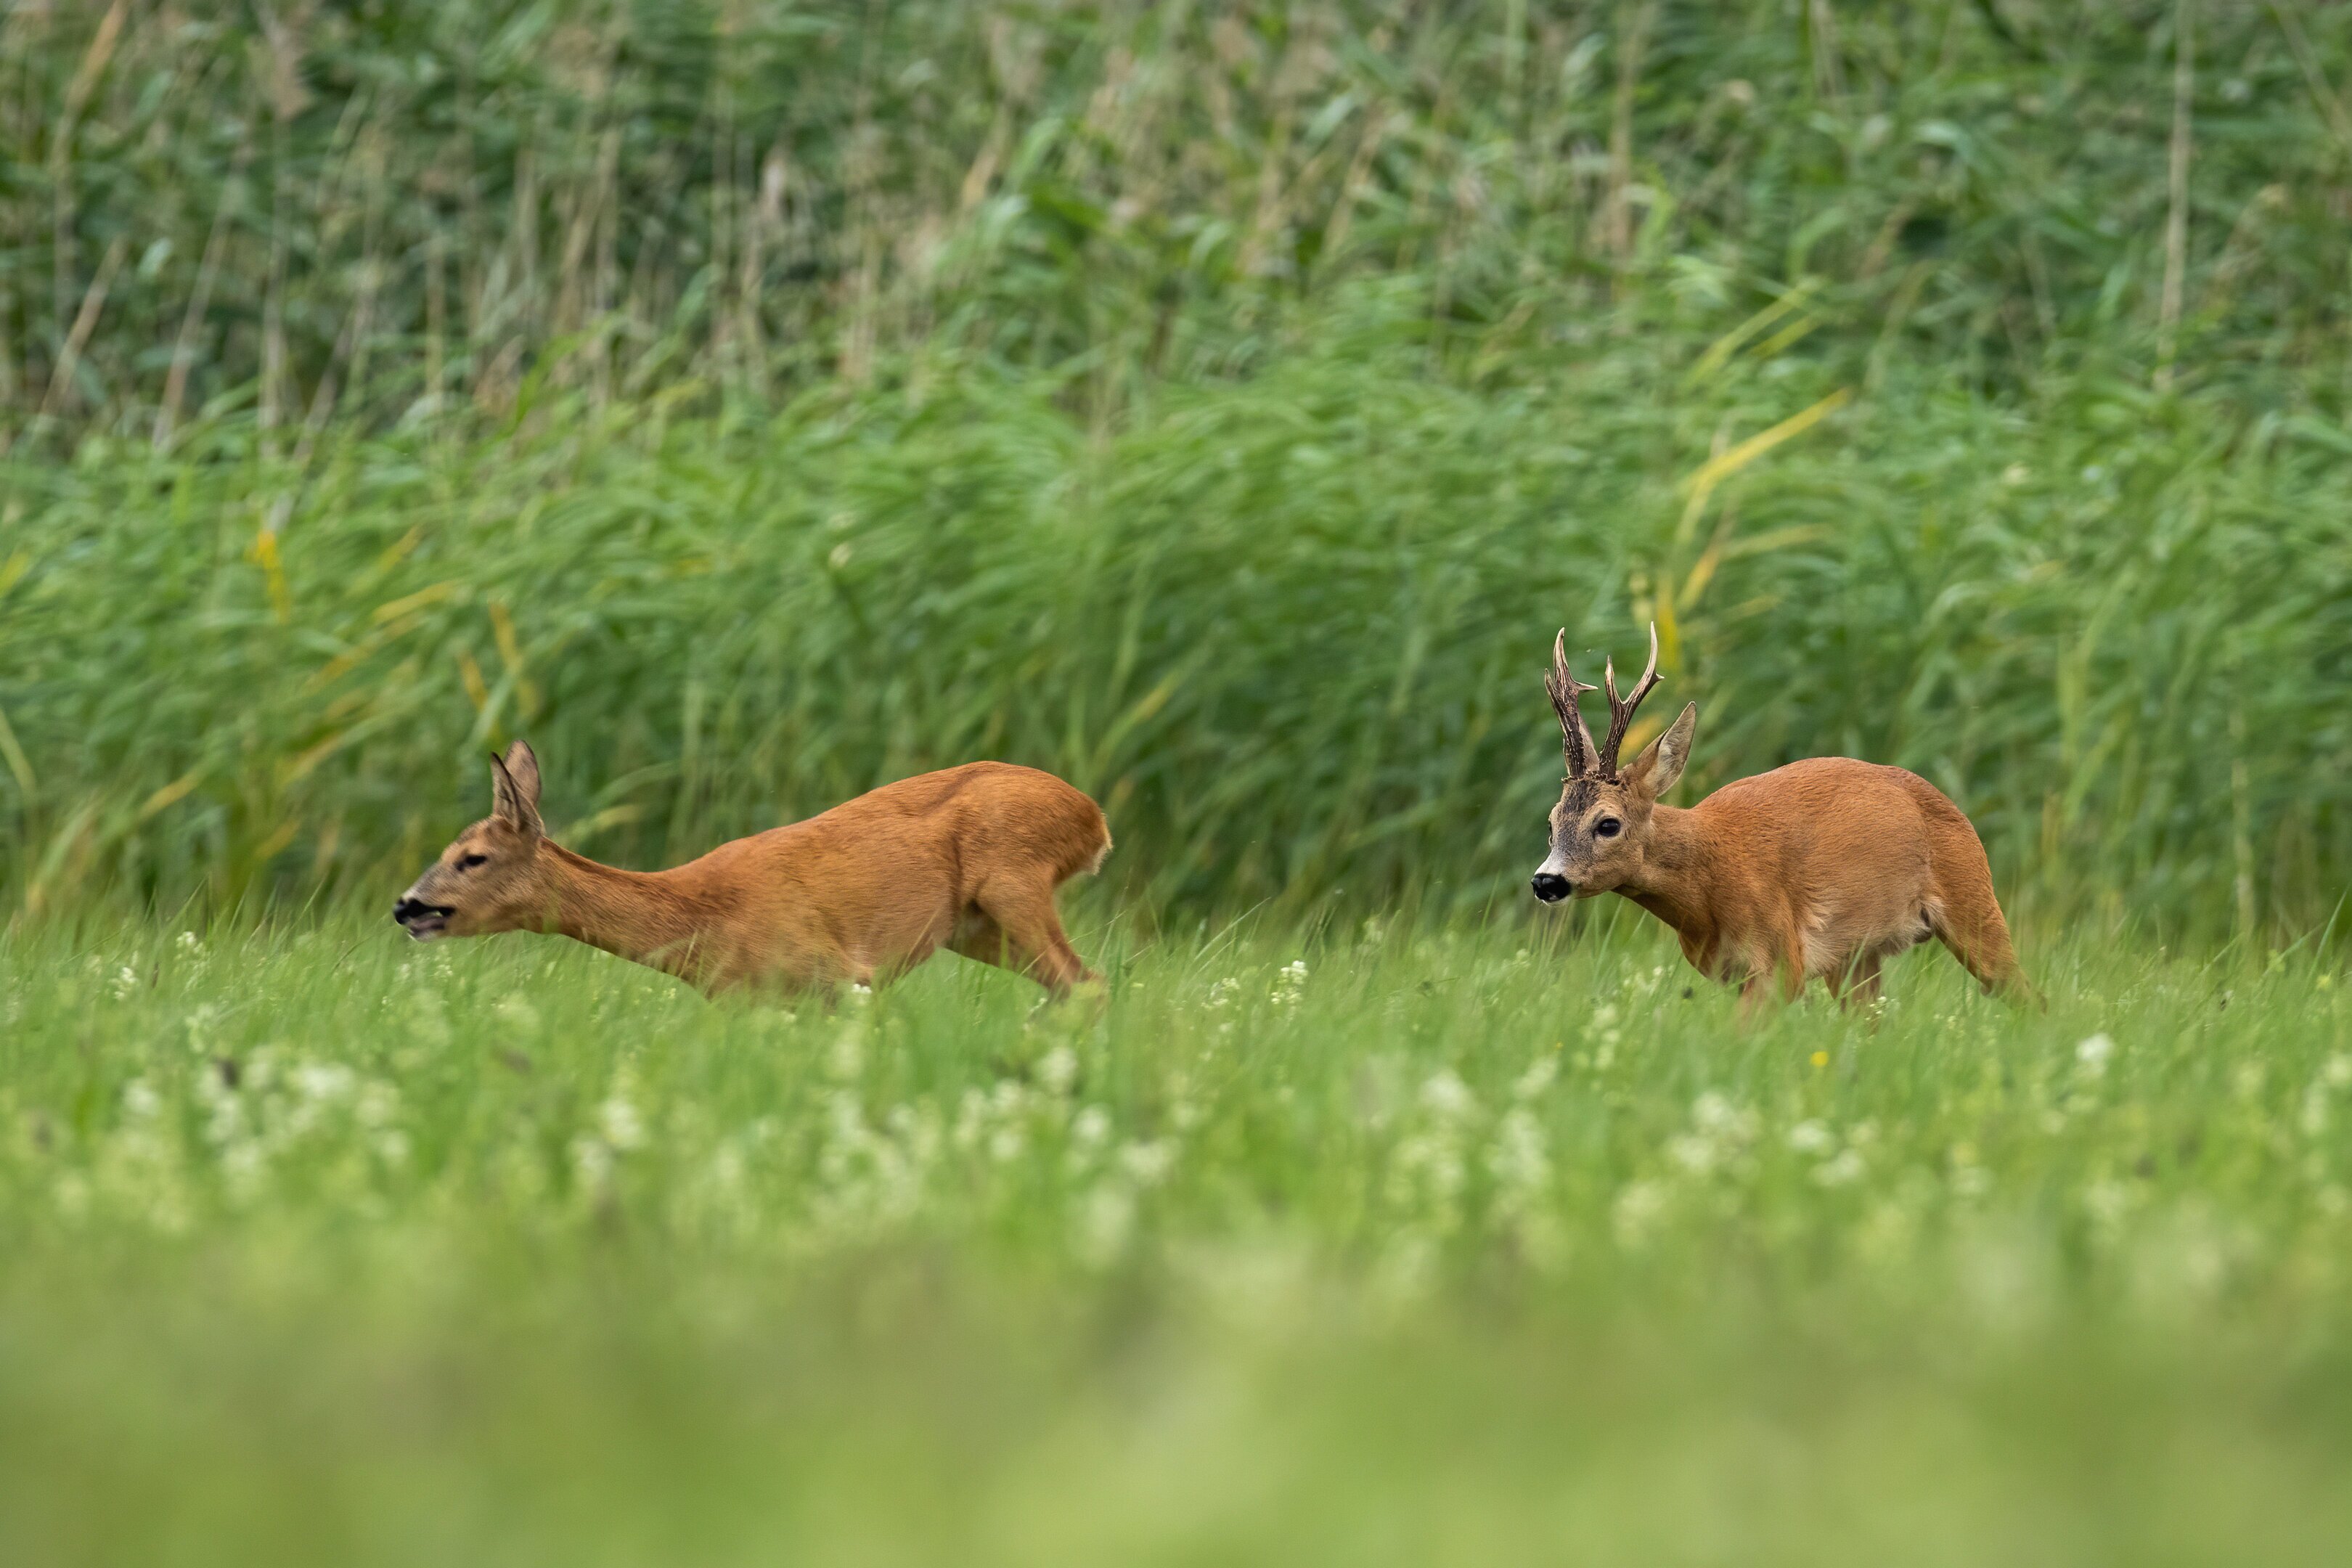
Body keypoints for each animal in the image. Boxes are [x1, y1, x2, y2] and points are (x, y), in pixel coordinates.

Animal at [395, 747, 1110, 992]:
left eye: (472, 858)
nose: (407, 905)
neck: (703, 913)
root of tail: (1094, 816)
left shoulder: (842, 976)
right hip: (976, 927)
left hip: (1015, 878)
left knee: (1087, 984)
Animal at [1533, 629, 2032, 1010]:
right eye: (1552, 823)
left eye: (1608, 824)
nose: (1545, 881)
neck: (1706, 887)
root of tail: (1954, 809)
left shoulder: (1780, 959)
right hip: (1857, 958)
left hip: (1975, 901)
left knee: (2030, 997)